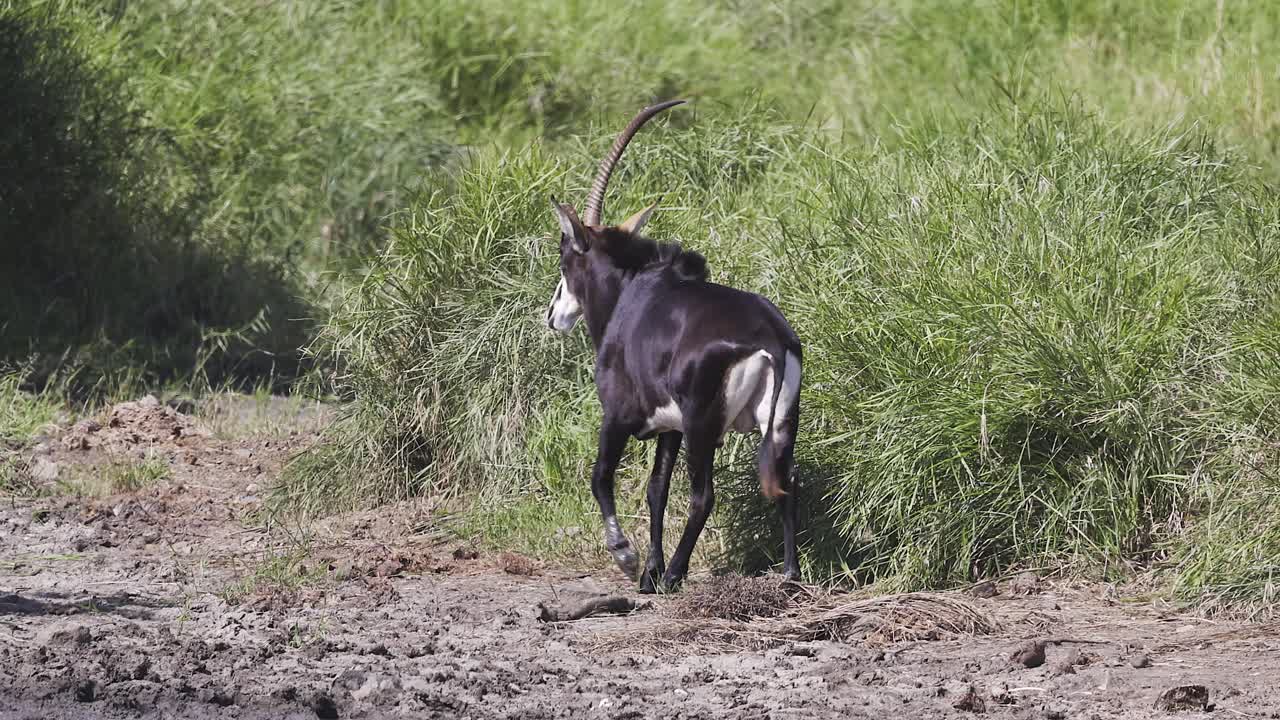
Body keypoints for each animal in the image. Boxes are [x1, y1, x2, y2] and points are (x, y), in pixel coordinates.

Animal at [547, 100, 802, 592]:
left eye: (565, 258)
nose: (554, 315)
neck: (630, 291)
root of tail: (770, 337)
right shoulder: (670, 428)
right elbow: (655, 490)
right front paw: (648, 571)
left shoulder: (619, 415)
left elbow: (600, 477)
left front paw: (628, 559)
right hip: (778, 423)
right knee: (784, 483)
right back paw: (790, 575)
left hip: (704, 425)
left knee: (704, 495)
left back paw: (676, 574)